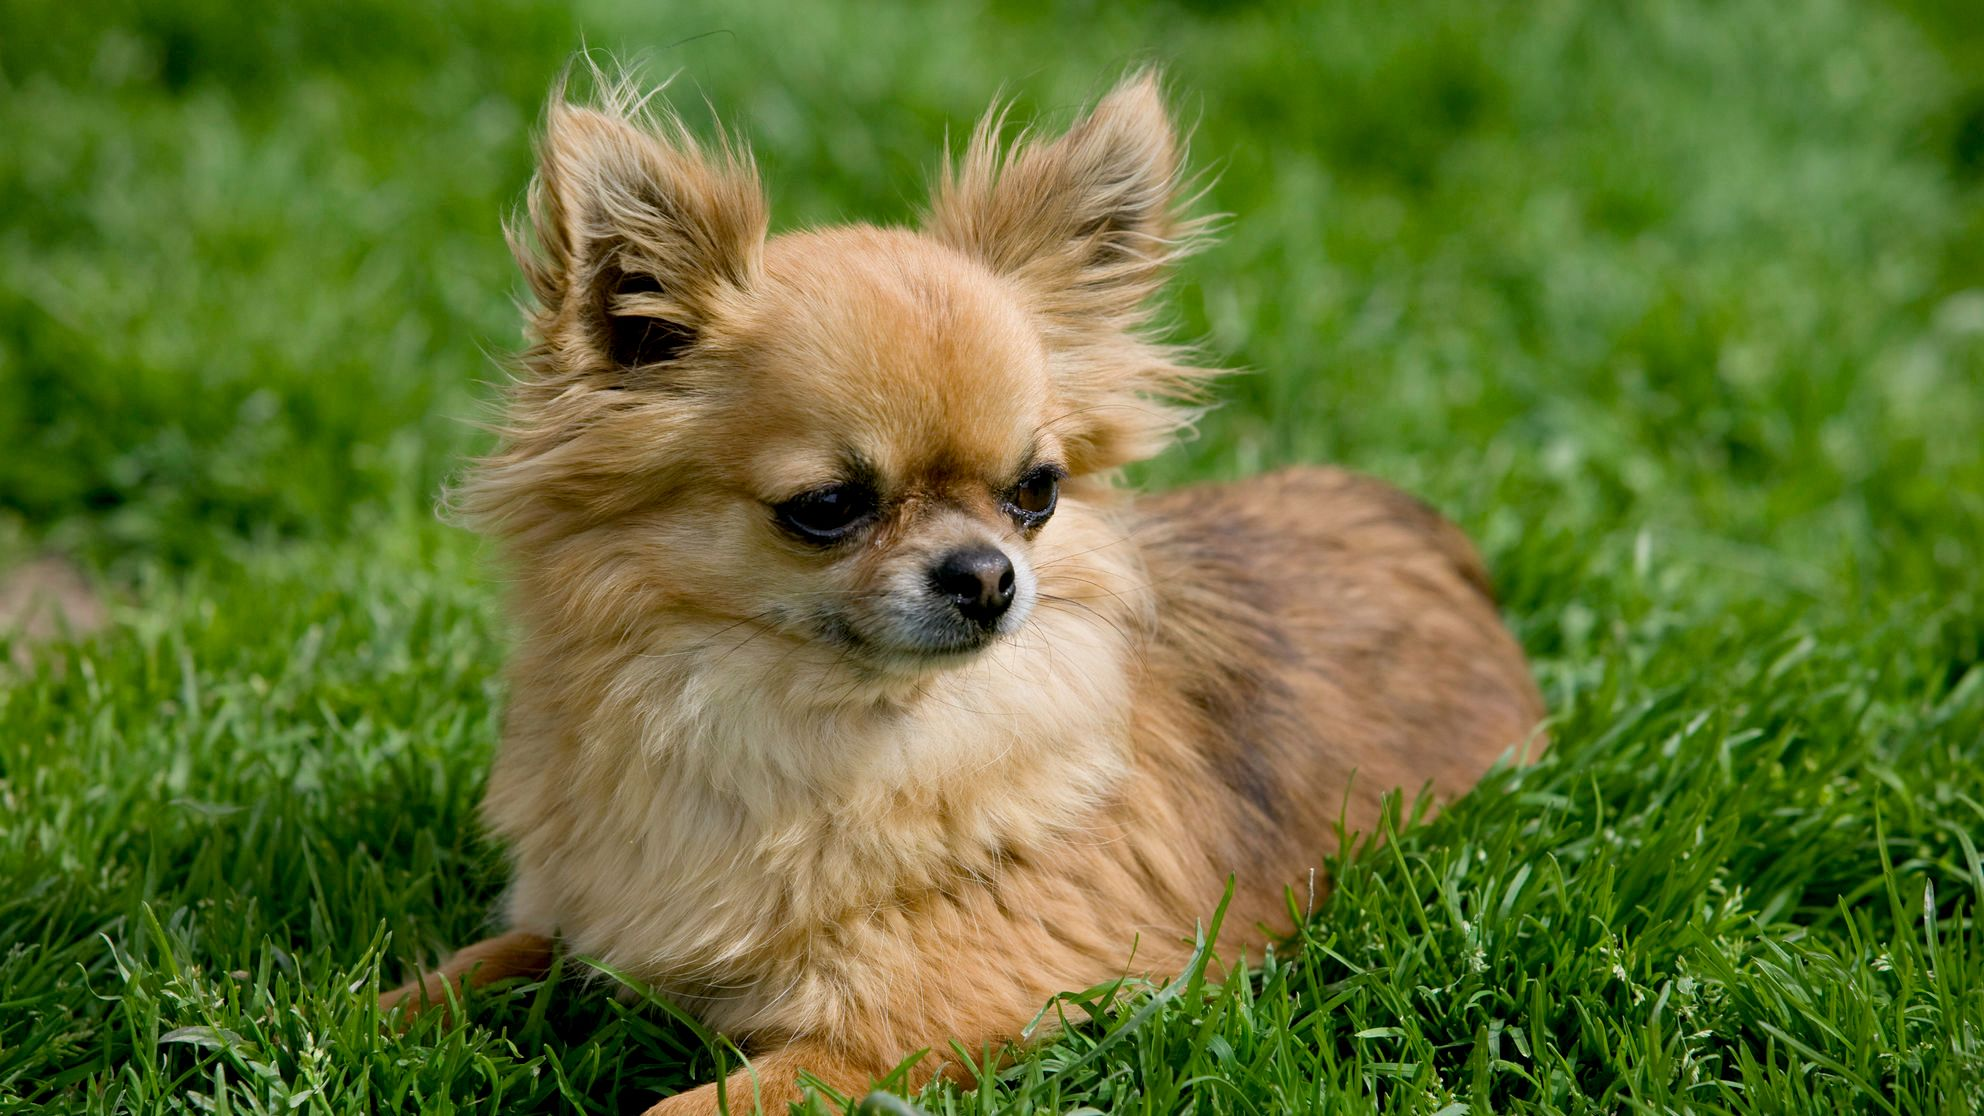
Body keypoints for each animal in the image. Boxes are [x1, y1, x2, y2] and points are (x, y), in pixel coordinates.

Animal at [382, 71, 1531, 1112]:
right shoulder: (580, 922)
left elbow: (681, 1109)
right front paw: (365, 1012)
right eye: (827, 506)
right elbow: (468, 967)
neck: (799, 727)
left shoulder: (896, 1031)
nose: (987, 574)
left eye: (1037, 492)